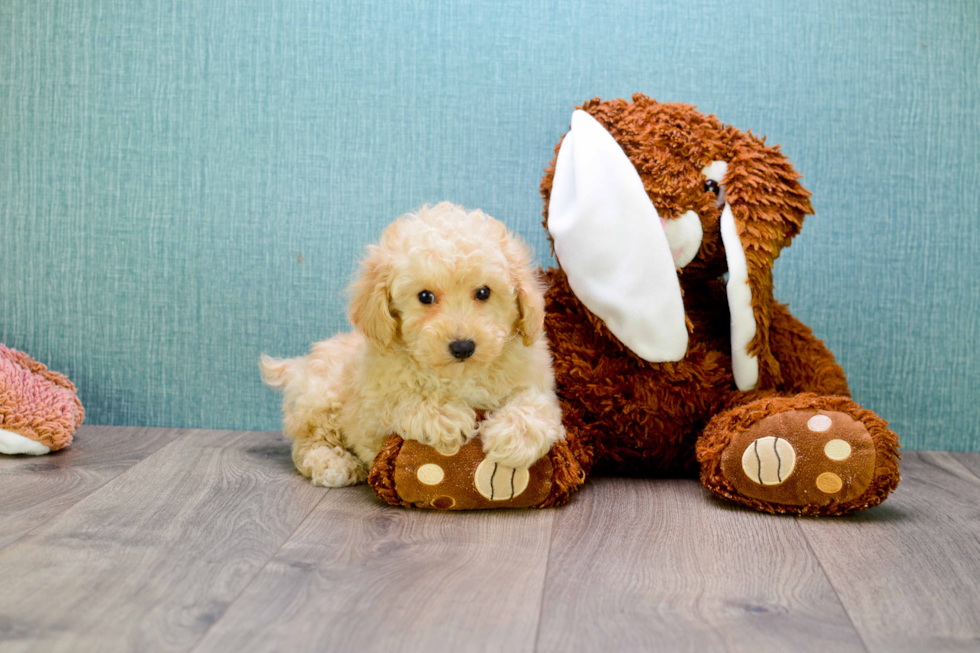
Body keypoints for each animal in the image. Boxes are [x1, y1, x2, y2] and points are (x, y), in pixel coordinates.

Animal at [258, 202, 568, 484]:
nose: (463, 347)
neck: (459, 377)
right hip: (322, 399)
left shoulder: (536, 381)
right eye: (425, 297)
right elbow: (400, 399)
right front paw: (444, 415)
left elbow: (535, 403)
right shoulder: (370, 411)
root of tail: (298, 367)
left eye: (483, 292)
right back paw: (333, 464)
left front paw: (515, 436)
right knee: (308, 444)